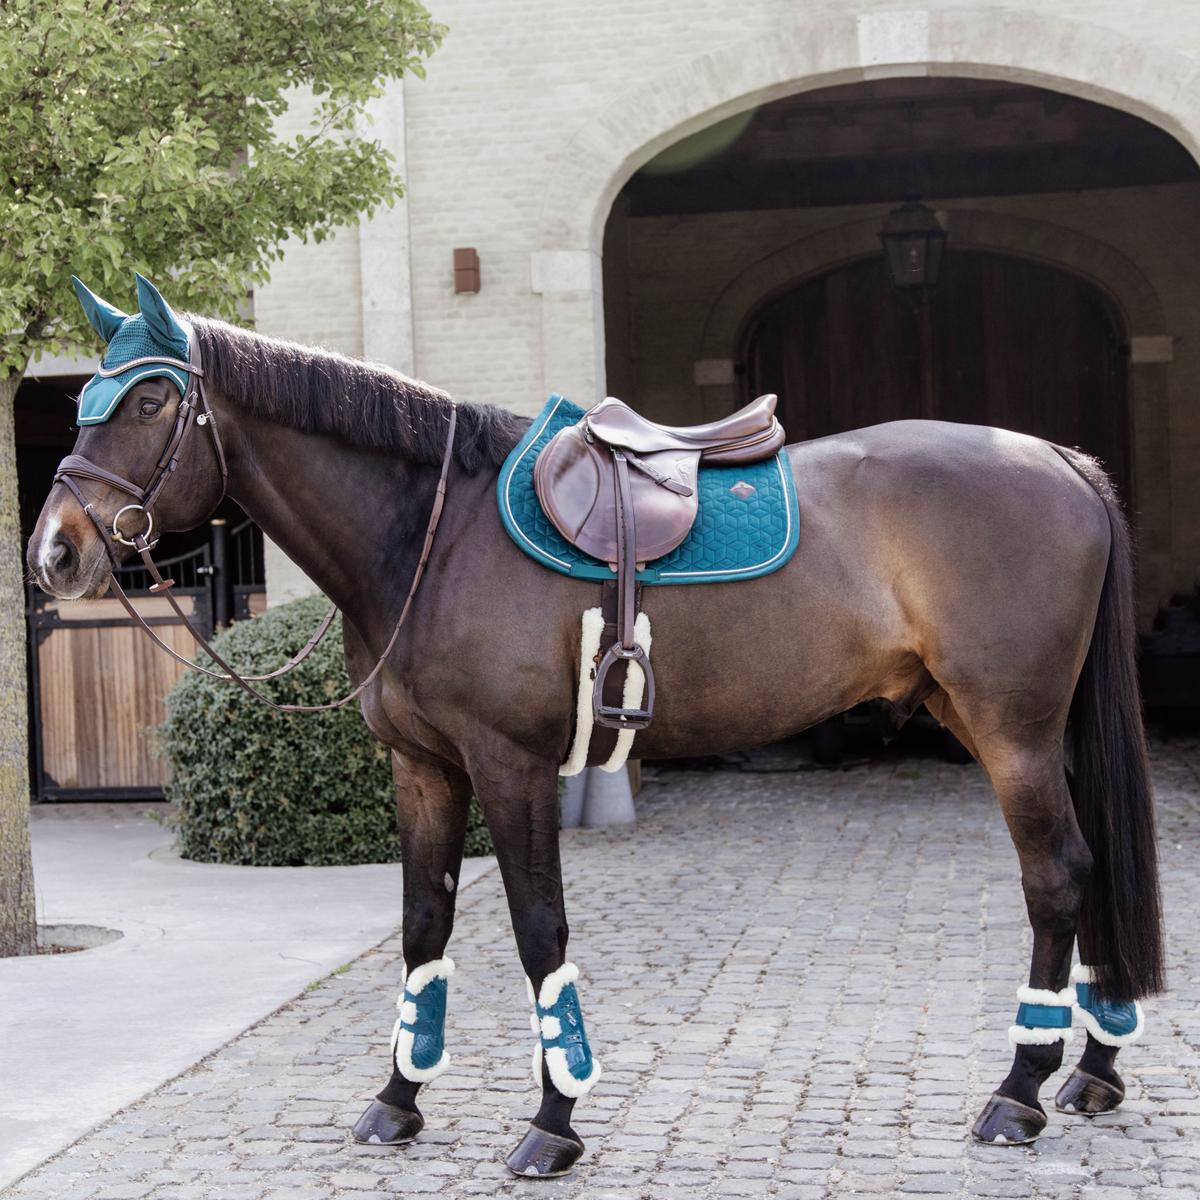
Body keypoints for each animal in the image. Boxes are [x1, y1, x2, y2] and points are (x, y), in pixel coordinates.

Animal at [29, 275, 1164, 1176]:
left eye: (150, 398)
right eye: (79, 401)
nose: (54, 553)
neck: (430, 538)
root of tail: (1058, 460)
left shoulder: (512, 765)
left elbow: (539, 929)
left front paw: (553, 1120)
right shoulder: (422, 769)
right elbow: (424, 926)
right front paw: (397, 1101)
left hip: (1011, 730)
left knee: (1057, 873)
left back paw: (1018, 1092)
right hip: (1003, 723)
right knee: (1092, 865)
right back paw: (1094, 1071)